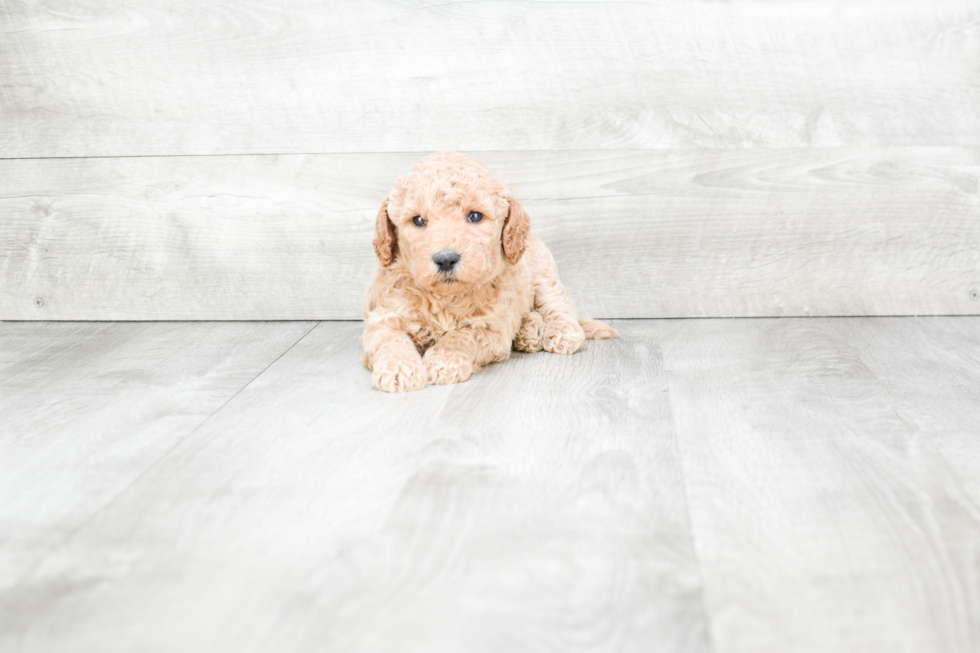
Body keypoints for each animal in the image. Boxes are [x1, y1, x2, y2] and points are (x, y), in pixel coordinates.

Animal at [364, 152, 616, 392]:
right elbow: (390, 340)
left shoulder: (490, 328)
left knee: (559, 306)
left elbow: (461, 336)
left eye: (475, 216)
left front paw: (445, 360)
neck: (446, 298)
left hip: (542, 271)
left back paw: (561, 333)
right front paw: (399, 370)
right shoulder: (385, 316)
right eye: (417, 220)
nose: (446, 259)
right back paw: (529, 330)